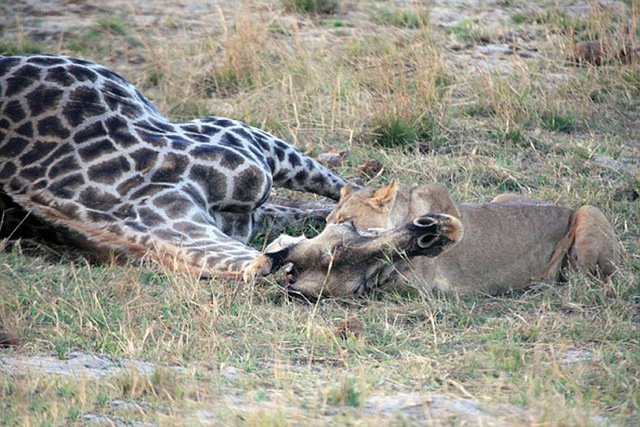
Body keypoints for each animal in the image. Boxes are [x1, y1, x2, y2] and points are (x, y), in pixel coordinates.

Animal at [320, 179, 620, 296]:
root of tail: (567, 208)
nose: (326, 243)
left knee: (587, 280)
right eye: (327, 223)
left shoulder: (417, 287)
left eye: (346, 221)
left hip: (589, 213)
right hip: (502, 196)